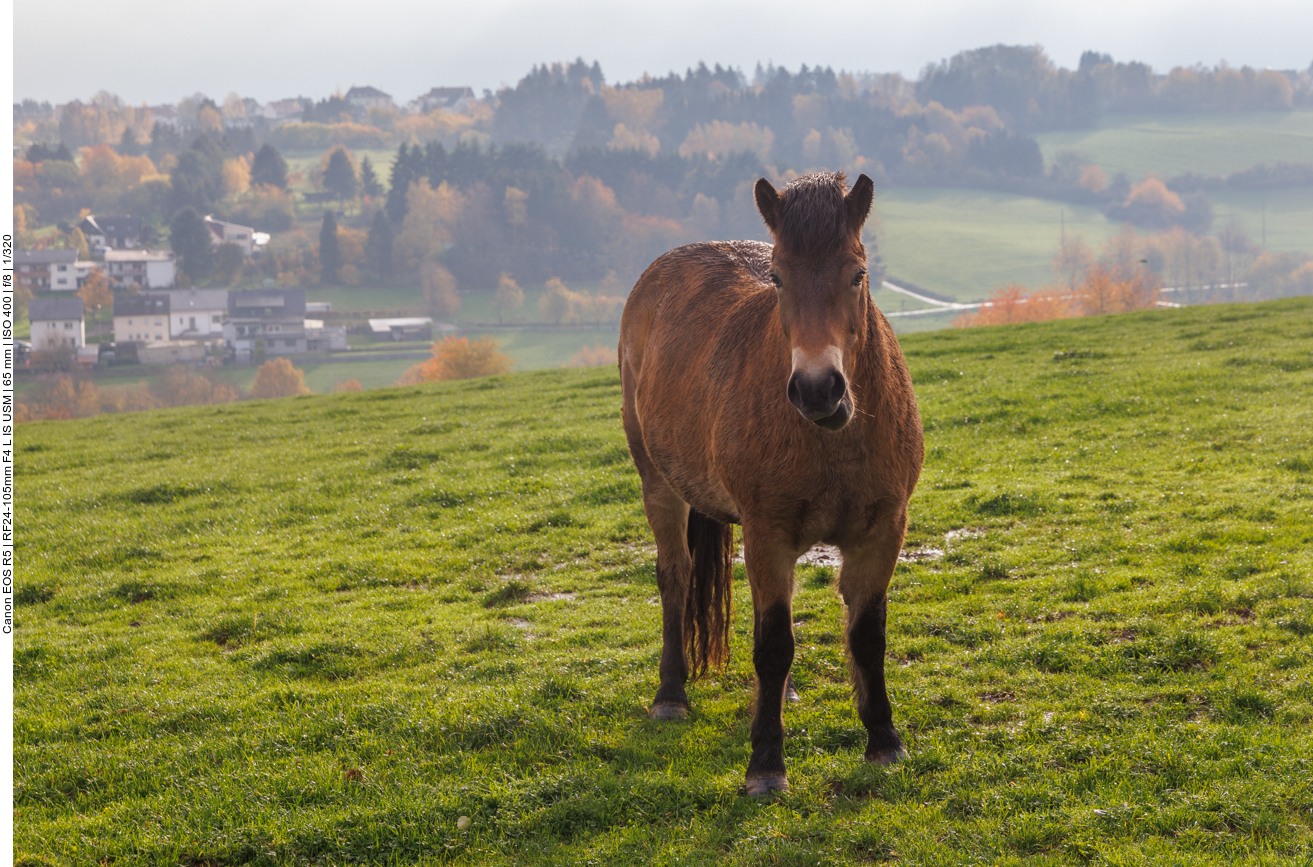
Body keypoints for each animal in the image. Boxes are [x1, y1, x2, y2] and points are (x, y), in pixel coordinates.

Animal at [617, 172, 919, 793]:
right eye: (777, 277)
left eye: (858, 273)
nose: (818, 389)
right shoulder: (768, 535)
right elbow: (775, 643)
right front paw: (766, 764)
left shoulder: (883, 532)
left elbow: (866, 635)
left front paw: (883, 739)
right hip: (658, 484)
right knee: (675, 577)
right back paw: (670, 696)